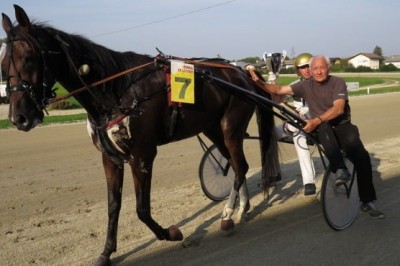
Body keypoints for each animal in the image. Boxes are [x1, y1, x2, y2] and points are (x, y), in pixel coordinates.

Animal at [1, 5, 280, 264]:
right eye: (3, 64)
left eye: (28, 57)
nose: (19, 117)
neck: (115, 90)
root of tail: (242, 73)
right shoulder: (110, 158)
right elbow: (113, 207)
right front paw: (106, 252)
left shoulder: (142, 155)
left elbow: (142, 209)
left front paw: (171, 233)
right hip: (213, 129)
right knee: (236, 165)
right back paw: (242, 208)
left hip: (231, 128)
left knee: (240, 166)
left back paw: (229, 213)